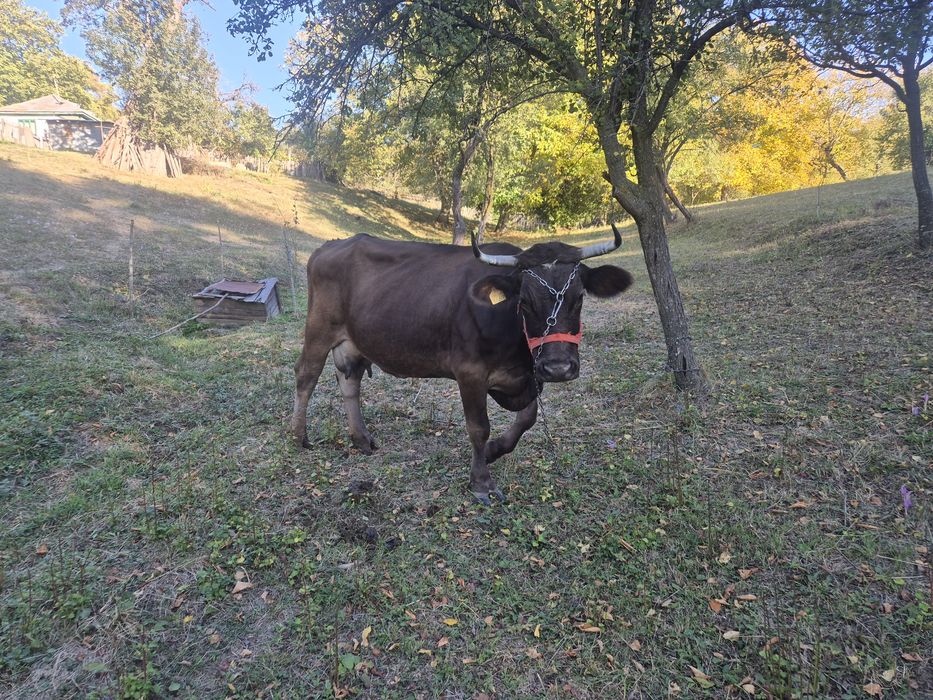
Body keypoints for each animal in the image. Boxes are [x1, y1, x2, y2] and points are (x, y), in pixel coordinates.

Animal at [290, 225, 633, 504]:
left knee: (350, 383)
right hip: (319, 330)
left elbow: (528, 418)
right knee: (306, 377)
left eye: (579, 297)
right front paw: (481, 482)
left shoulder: (530, 374)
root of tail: (329, 246)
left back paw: (361, 439)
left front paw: (495, 450)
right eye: (524, 301)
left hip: (353, 341)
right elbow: (479, 427)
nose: (558, 368)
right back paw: (298, 436)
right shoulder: (470, 372)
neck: (516, 350)